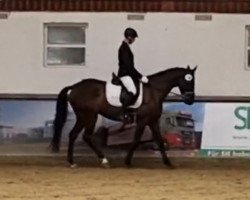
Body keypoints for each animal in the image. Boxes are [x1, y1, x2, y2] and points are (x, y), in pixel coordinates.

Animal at [49, 66, 196, 169]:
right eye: (189, 80)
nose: (190, 100)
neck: (154, 91)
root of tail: (74, 87)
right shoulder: (143, 120)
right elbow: (136, 140)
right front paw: (128, 162)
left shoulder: (152, 120)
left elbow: (159, 141)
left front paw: (168, 163)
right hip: (90, 116)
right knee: (86, 136)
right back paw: (104, 161)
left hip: (82, 116)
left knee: (73, 135)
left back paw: (72, 162)